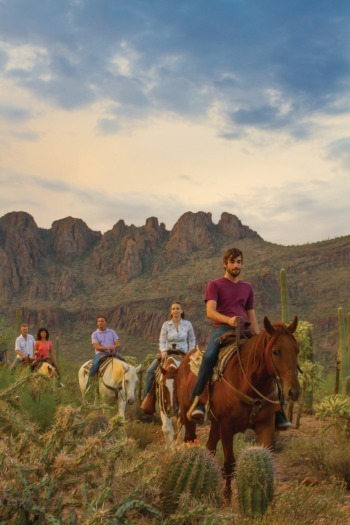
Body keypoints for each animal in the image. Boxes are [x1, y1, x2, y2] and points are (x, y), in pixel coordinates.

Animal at [178, 318, 300, 498]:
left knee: (210, 448)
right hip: (189, 417)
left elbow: (265, 458)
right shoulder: (227, 427)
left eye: (297, 350)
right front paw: (227, 498)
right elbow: (230, 464)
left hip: (215, 423)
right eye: (275, 351)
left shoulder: (266, 426)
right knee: (190, 440)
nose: (294, 391)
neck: (247, 382)